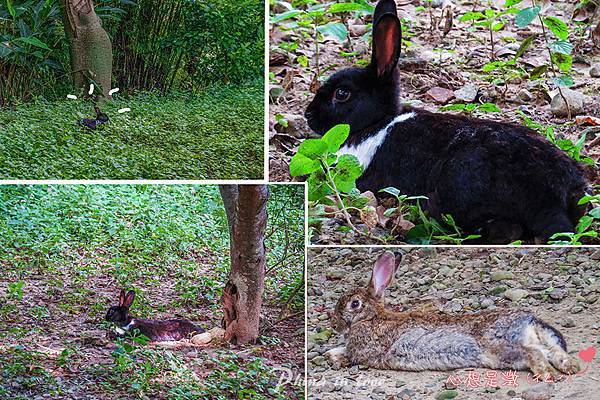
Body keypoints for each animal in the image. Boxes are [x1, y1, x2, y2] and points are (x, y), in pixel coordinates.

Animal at [328, 253, 580, 378]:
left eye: (354, 304)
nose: (334, 324)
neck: (370, 317)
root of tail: (529, 322)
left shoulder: (363, 350)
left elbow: (347, 353)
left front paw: (333, 355)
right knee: (551, 351)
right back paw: (571, 367)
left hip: (500, 348)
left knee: (533, 353)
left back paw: (547, 374)